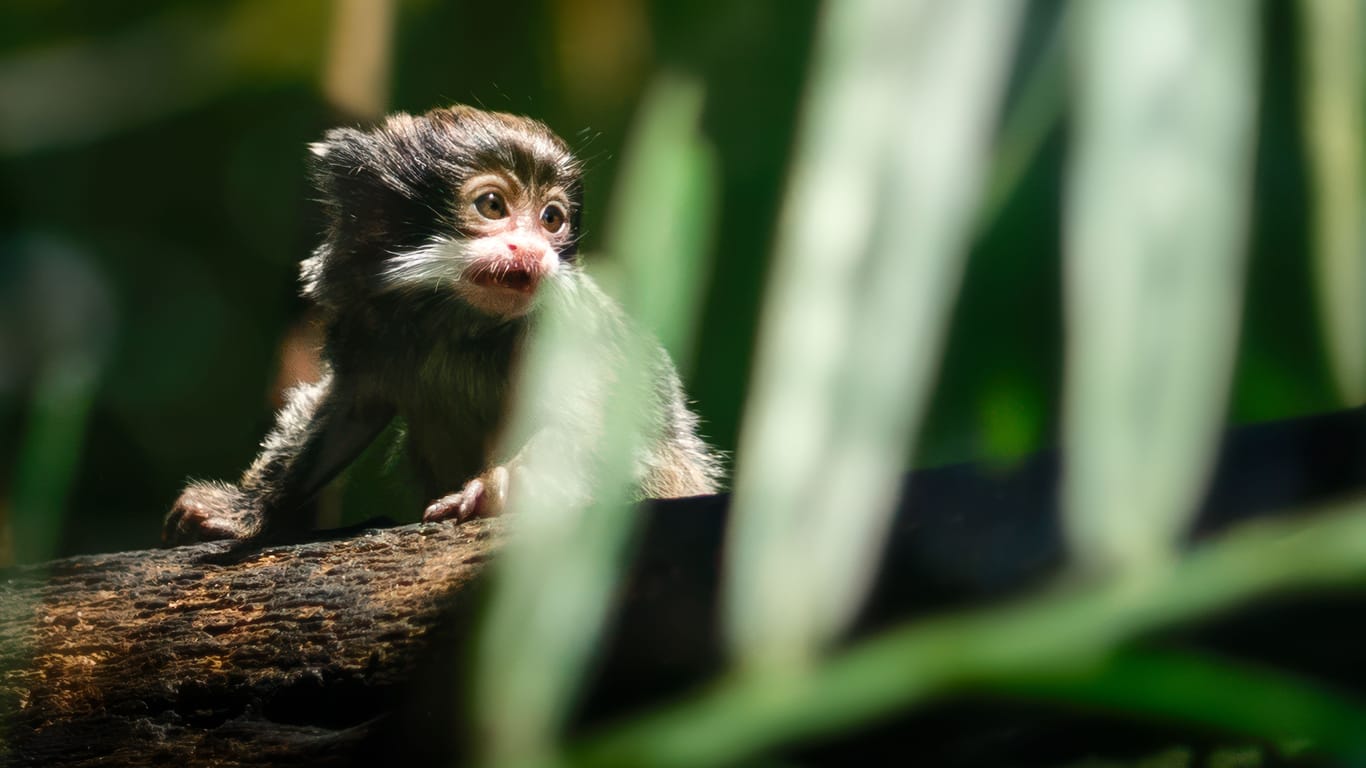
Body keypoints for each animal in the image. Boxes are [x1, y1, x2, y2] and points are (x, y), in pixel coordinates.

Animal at [165, 104, 726, 541]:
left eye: (551, 219)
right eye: (493, 205)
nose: (532, 250)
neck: (456, 322)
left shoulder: (569, 331)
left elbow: (609, 427)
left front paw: (495, 489)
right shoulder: (368, 324)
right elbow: (349, 409)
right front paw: (245, 510)